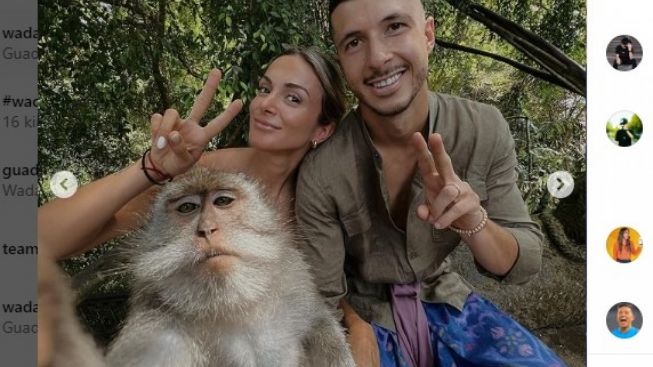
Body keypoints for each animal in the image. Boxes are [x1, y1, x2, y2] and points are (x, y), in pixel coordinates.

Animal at [103, 167, 356, 367]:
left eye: (222, 201)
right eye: (187, 207)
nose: (207, 229)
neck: (231, 305)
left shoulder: (295, 279)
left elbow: (320, 323)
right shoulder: (155, 332)